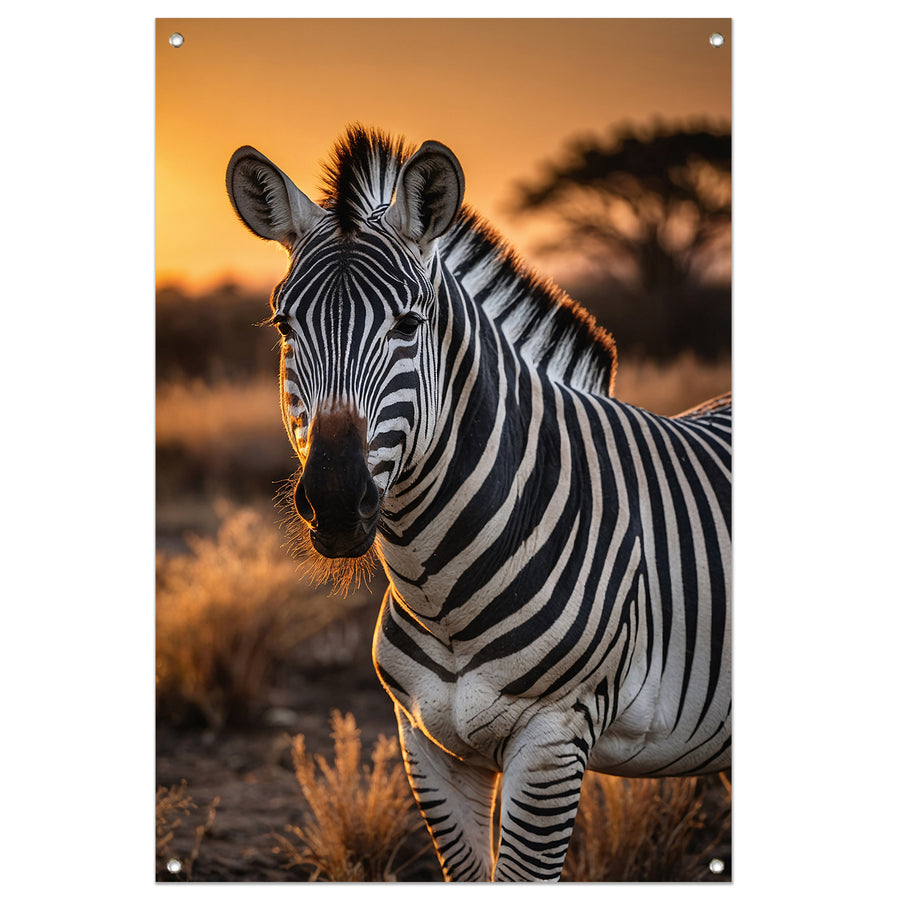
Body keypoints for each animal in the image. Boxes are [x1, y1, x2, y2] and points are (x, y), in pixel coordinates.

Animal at [225, 126, 731, 882]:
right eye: (285, 327)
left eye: (408, 326)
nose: (337, 503)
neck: (441, 593)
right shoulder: (428, 745)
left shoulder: (551, 743)